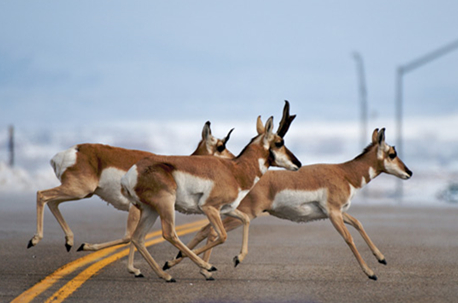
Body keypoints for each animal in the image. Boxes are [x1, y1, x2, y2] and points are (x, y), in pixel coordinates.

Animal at [26, 121, 233, 258]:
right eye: (221, 146)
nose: (234, 160)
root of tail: (71, 151)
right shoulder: (135, 209)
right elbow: (129, 237)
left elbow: (132, 238)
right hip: (79, 190)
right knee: (42, 195)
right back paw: (35, 240)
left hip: (81, 192)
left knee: (52, 201)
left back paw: (69, 242)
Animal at [120, 101, 302, 282]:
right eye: (279, 142)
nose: (298, 164)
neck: (235, 171)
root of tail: (132, 172)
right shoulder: (209, 208)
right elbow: (222, 236)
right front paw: (196, 265)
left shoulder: (228, 209)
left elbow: (245, 220)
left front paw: (237, 258)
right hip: (165, 205)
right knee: (169, 233)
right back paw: (194, 267)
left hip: (150, 210)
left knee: (138, 238)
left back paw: (165, 275)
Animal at [166, 127, 414, 282]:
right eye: (392, 153)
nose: (409, 172)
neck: (345, 173)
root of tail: (237, 172)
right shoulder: (334, 213)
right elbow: (348, 238)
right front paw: (370, 272)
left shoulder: (339, 213)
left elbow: (359, 224)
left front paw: (381, 258)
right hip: (242, 213)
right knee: (210, 231)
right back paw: (194, 267)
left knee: (205, 230)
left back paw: (188, 266)